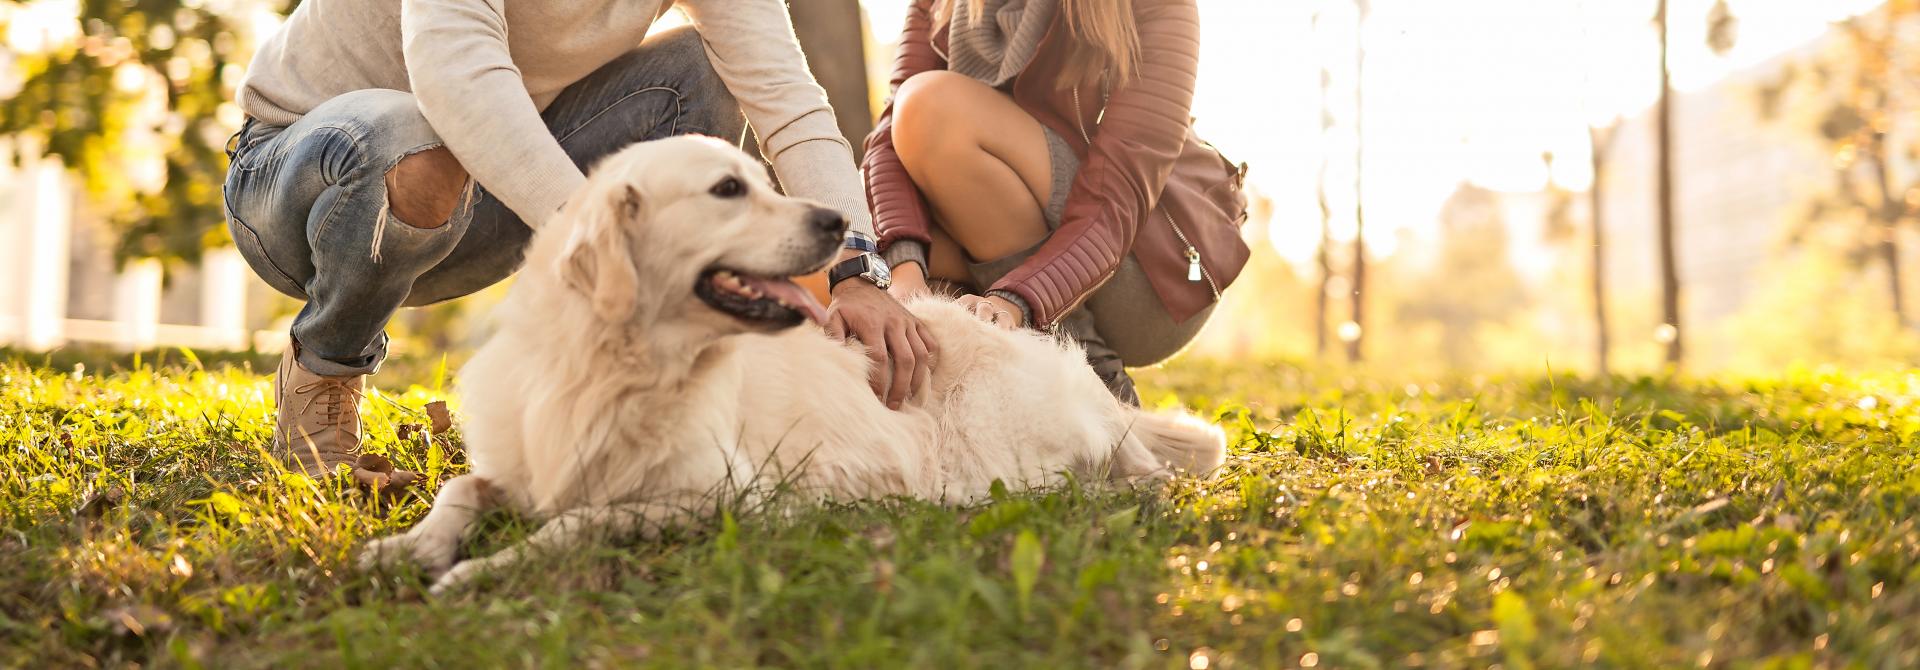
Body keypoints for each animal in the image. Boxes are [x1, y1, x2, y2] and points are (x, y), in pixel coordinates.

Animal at [360, 134, 1228, 591]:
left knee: (1131, 472)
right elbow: (462, 491)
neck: (614, 364)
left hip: (1002, 447)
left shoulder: (718, 497)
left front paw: (479, 570)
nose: (839, 222)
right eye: (725, 190)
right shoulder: (523, 458)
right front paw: (410, 548)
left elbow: (578, 520)